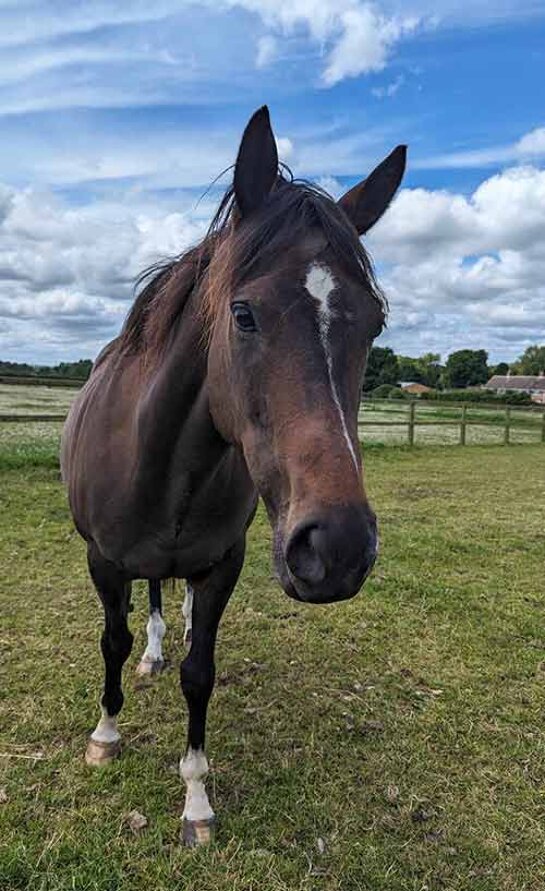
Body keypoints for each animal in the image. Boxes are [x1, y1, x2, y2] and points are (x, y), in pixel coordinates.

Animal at [61, 104, 406, 844]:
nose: (337, 549)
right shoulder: (103, 561)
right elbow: (112, 638)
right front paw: (105, 735)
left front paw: (195, 799)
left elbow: (201, 673)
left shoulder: (223, 564)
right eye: (242, 313)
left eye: (373, 325)